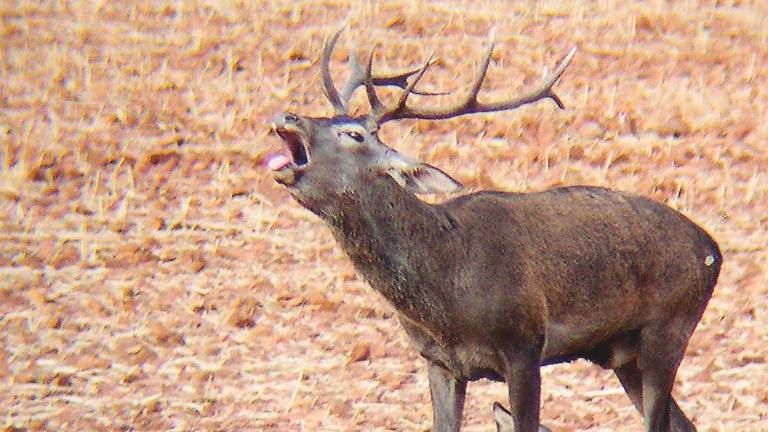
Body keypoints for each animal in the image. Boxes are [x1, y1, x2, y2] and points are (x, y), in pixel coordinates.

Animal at [264, 27, 720, 432]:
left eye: (353, 134)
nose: (287, 115)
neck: (447, 292)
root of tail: (713, 249)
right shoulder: (438, 361)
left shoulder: (524, 346)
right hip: (622, 355)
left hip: (669, 329)